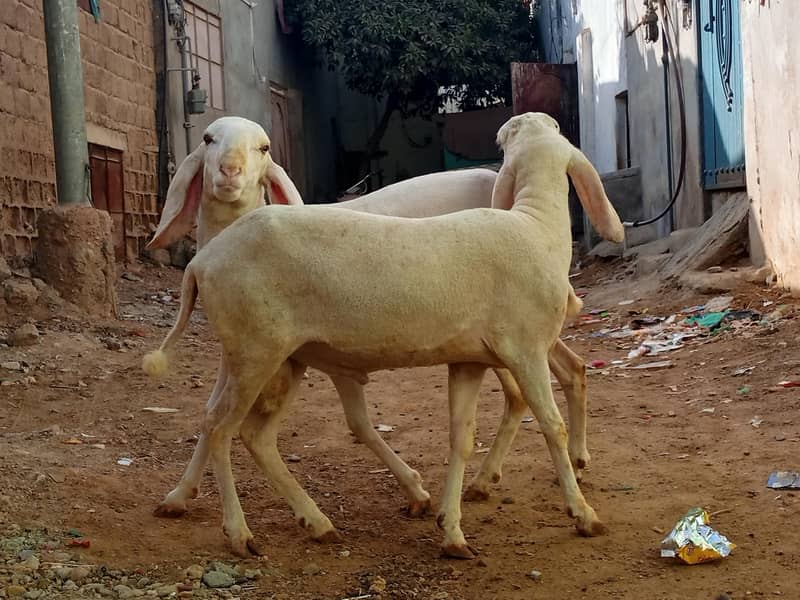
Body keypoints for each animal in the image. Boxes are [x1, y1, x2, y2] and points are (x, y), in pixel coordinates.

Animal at [143, 112, 621, 558]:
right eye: (208, 139)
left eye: (262, 147)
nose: (228, 173)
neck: (536, 226)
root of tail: (202, 262)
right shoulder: (525, 350)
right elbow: (551, 426)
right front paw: (583, 515)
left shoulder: (469, 360)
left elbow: (460, 438)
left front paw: (450, 529)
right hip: (253, 353)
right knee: (221, 429)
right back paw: (240, 532)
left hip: (282, 358)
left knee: (251, 435)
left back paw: (318, 522)